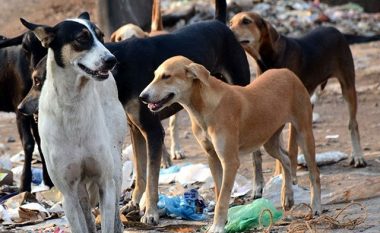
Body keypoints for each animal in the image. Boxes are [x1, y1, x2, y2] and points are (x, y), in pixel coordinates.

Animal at [0, 31, 51, 191]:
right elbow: (29, 144)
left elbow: (41, 142)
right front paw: (24, 184)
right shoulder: (20, 110)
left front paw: (49, 181)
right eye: (25, 47)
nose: (36, 74)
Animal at [21, 12, 126, 233]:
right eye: (81, 38)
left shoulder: (105, 182)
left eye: (101, 37)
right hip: (79, 190)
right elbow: (80, 222)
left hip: (115, 166)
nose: (112, 60)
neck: (73, 103)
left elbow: (107, 218)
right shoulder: (68, 193)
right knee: (85, 208)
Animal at [105, 0, 251, 224]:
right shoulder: (136, 130)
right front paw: (135, 203)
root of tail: (219, 23)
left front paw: (150, 212)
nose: (143, 97)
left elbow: (152, 177)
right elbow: (140, 173)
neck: (119, 66)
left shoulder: (153, 131)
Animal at [140, 55, 320, 232]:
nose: (142, 97)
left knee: (314, 174)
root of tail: (287, 72)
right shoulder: (212, 157)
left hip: (304, 133)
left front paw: (218, 226)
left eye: (166, 76)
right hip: (269, 140)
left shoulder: (230, 161)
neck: (203, 107)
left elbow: (223, 198)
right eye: (155, 75)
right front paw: (222, 221)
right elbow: (219, 193)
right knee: (286, 159)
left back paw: (316, 207)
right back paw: (288, 196)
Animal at [229, 11, 366, 178]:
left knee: (352, 123)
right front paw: (279, 173)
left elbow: (290, 147)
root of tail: (333, 29)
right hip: (308, 101)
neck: (269, 58)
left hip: (347, 87)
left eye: (246, 21)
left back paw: (358, 156)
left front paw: (291, 174)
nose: (228, 30)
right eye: (230, 22)